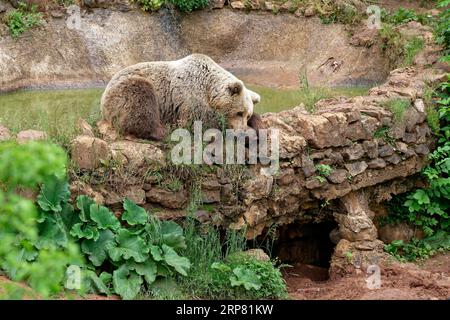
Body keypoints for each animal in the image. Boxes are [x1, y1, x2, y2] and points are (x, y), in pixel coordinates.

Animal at [99, 53, 264, 140]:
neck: (209, 88)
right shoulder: (190, 96)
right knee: (141, 98)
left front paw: (256, 123)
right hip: (124, 90)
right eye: (239, 112)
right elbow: (201, 121)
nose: (243, 132)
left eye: (247, 115)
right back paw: (162, 130)